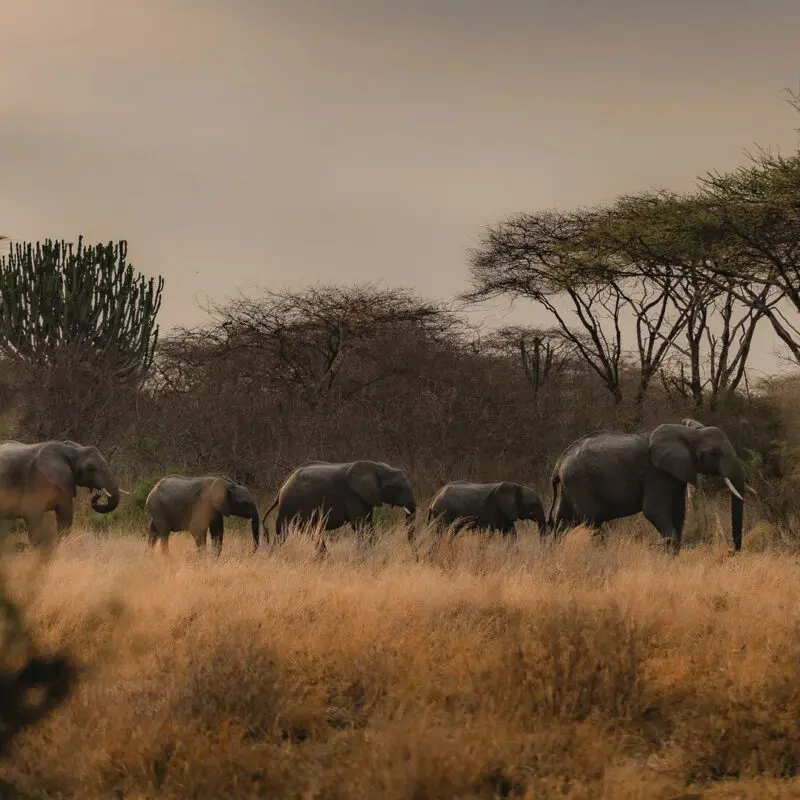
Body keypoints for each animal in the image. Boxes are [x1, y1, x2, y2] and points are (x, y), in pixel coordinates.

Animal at [262, 460, 416, 554]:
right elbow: (360, 525)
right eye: (395, 488)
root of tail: (281, 489)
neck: (377, 467)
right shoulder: (353, 495)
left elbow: (367, 524)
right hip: (290, 506)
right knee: (287, 532)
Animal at [547, 422, 748, 554]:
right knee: (592, 521)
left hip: (569, 486)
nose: (731, 551)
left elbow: (679, 511)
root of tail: (558, 464)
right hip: (580, 483)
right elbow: (653, 510)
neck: (688, 432)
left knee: (563, 521)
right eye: (714, 452)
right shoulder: (655, 472)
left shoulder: (675, 474)